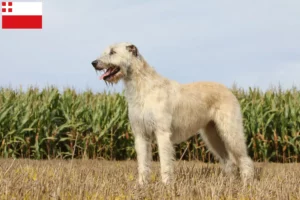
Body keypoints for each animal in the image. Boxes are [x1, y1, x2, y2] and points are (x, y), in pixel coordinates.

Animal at [91, 41, 253, 184]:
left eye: (112, 52)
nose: (93, 62)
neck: (142, 86)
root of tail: (229, 91)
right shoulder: (141, 134)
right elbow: (143, 162)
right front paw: (141, 184)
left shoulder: (162, 133)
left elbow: (165, 162)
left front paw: (166, 184)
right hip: (212, 134)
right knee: (228, 160)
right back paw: (229, 184)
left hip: (230, 131)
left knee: (244, 159)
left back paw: (246, 183)